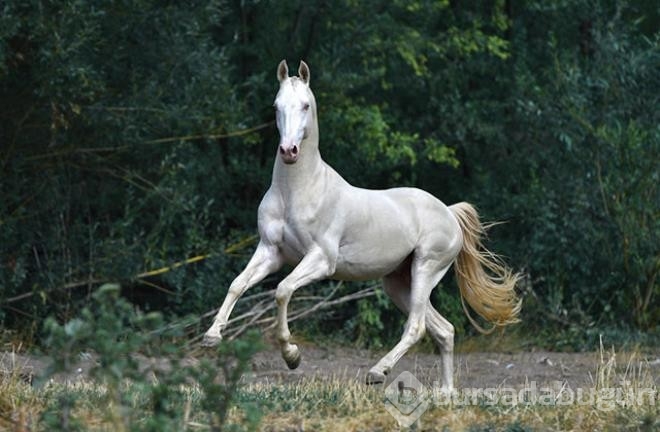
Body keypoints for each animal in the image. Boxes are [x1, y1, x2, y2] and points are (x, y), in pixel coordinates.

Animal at [204, 60, 524, 388]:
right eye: (276, 106)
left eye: (305, 105)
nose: (289, 151)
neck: (297, 192)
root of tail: (448, 212)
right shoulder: (271, 252)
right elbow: (237, 284)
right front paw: (212, 336)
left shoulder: (321, 259)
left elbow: (282, 290)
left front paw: (292, 355)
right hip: (399, 283)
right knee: (443, 330)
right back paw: (446, 393)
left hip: (425, 269)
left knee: (417, 327)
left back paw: (377, 372)